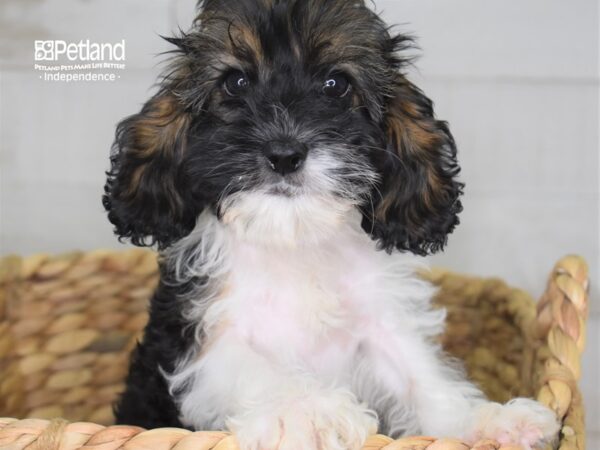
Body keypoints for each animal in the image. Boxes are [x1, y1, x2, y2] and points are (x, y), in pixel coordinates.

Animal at [102, 1, 556, 448]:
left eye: (335, 84)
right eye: (235, 82)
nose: (284, 153)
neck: (294, 240)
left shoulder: (379, 325)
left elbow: (420, 376)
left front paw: (489, 422)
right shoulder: (201, 338)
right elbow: (256, 367)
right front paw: (308, 413)